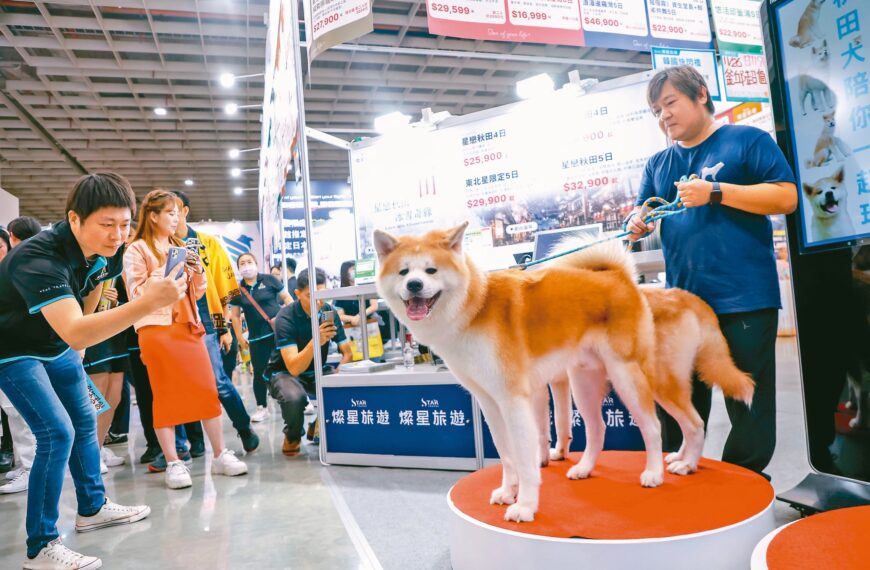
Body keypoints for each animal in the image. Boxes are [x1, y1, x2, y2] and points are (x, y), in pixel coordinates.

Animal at [372, 221, 660, 520]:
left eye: (431, 270)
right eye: (403, 272)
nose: (414, 284)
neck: (474, 310)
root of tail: (617, 276)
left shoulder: (513, 400)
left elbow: (524, 459)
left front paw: (525, 505)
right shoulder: (489, 402)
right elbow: (507, 454)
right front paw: (508, 492)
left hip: (625, 374)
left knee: (652, 426)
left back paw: (653, 473)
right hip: (583, 383)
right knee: (597, 429)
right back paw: (584, 468)